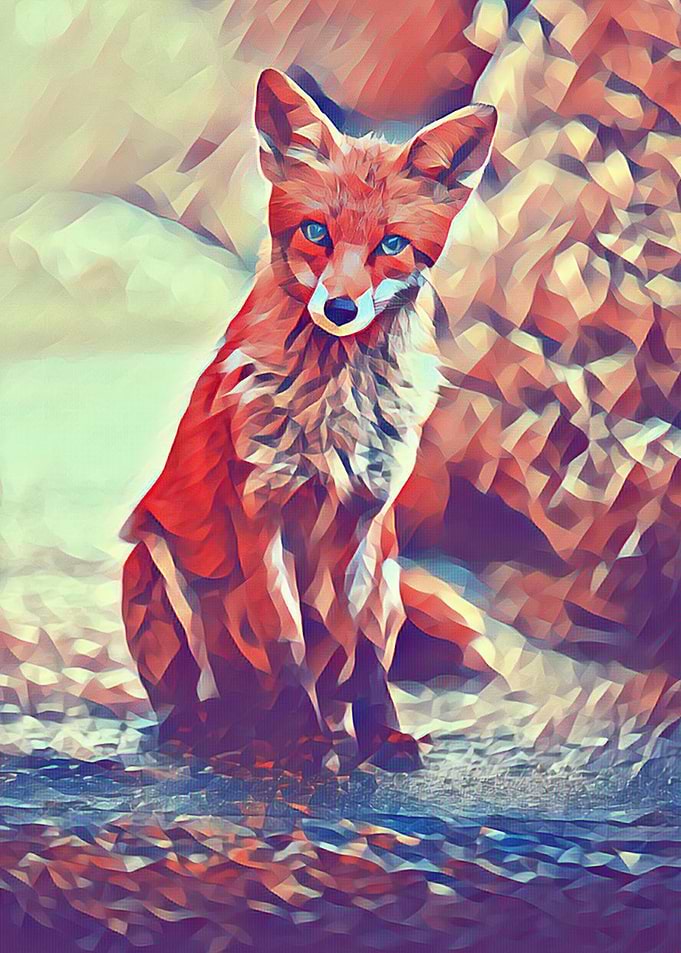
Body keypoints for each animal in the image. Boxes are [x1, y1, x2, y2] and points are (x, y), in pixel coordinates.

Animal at [121, 68, 497, 776]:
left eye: (392, 244)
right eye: (317, 232)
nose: (342, 309)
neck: (336, 407)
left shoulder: (371, 522)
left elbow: (368, 655)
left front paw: (382, 738)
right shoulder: (260, 513)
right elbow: (283, 640)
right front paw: (298, 745)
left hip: (393, 581)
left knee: (341, 674)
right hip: (152, 568)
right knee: (195, 702)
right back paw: (219, 735)